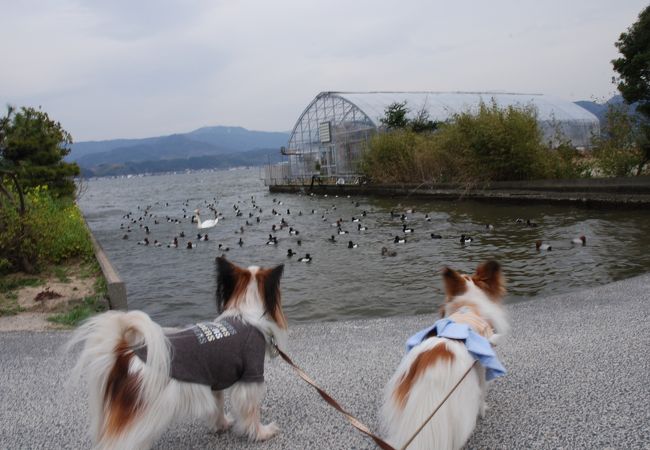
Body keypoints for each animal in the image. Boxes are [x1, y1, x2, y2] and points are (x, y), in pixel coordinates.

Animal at [67, 256, 286, 450]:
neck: (245, 314)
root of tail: (123, 355)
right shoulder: (251, 376)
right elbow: (251, 412)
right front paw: (262, 433)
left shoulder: (215, 382)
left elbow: (217, 405)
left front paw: (221, 425)